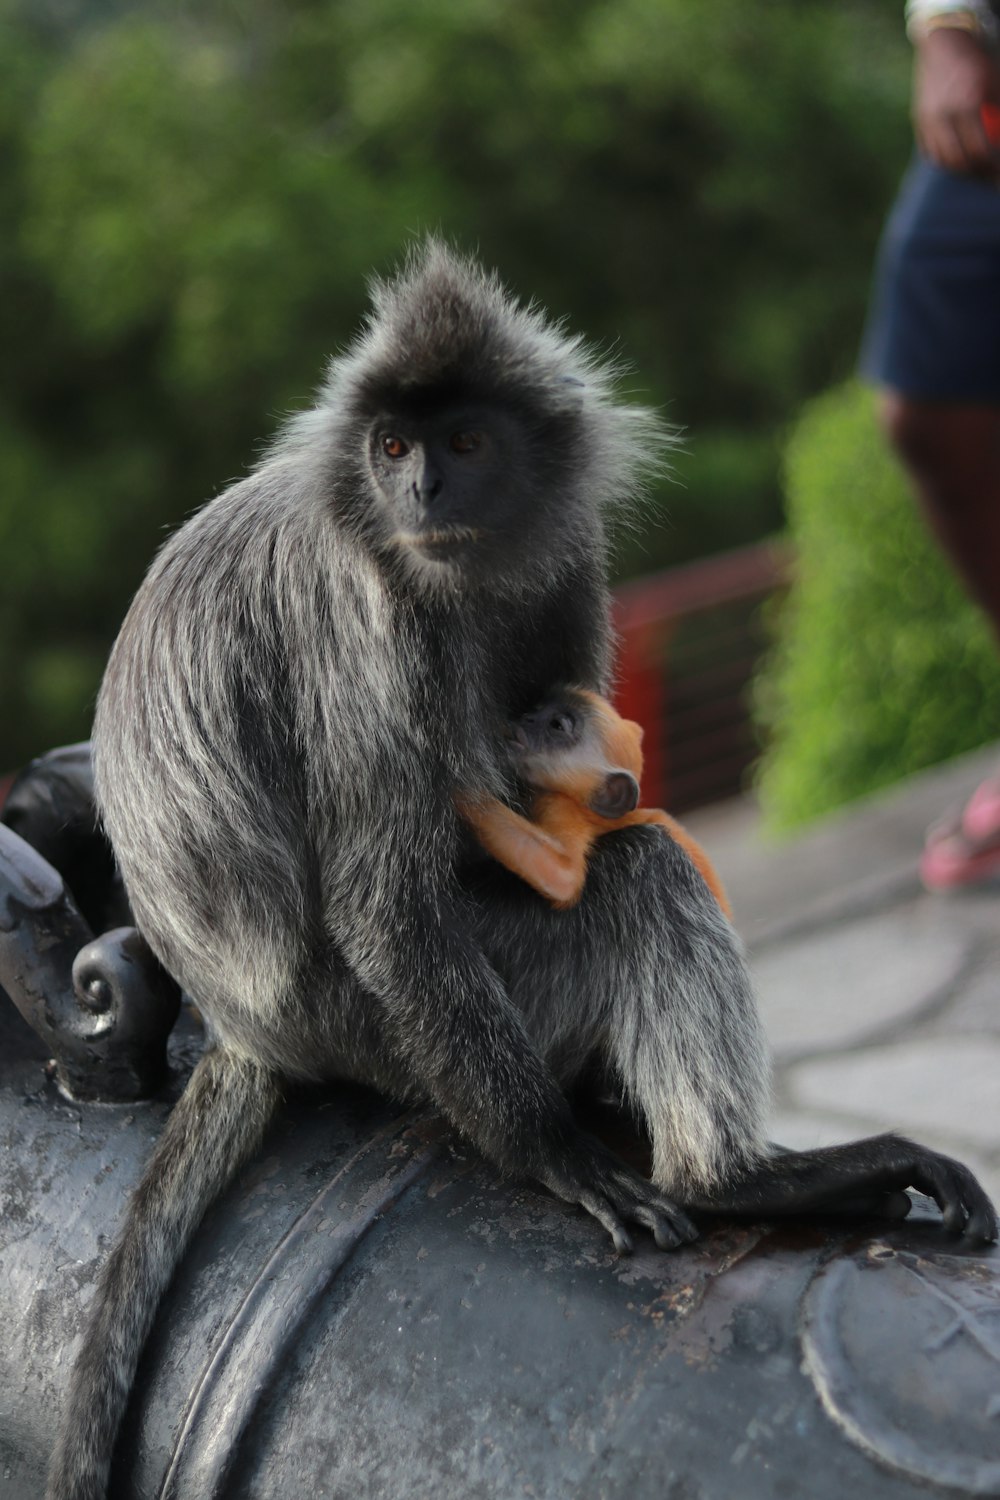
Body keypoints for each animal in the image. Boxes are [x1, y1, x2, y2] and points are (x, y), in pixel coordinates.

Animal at [458, 687, 731, 912]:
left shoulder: (559, 804)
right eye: (537, 710)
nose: (527, 718)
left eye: (556, 725)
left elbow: (563, 876)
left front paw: (460, 790)